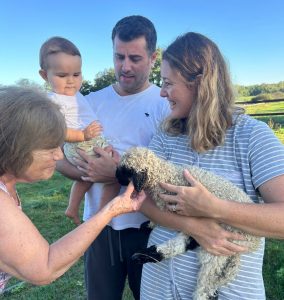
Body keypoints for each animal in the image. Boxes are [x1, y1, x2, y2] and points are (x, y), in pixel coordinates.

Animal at [115, 146, 260, 298]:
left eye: (125, 171)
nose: (116, 178)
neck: (164, 174)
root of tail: (255, 243)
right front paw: (147, 226)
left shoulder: (170, 207)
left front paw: (149, 225)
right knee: (185, 243)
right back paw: (144, 255)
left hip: (224, 243)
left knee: (205, 283)